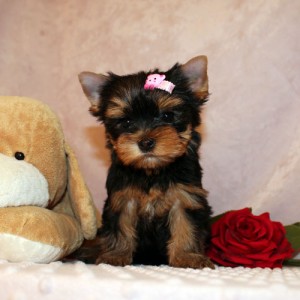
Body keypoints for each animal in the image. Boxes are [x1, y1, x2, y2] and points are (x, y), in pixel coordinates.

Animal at [77, 56, 213, 270]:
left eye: (167, 116)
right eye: (126, 122)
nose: (145, 142)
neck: (151, 171)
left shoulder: (185, 196)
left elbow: (186, 225)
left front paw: (187, 256)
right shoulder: (122, 198)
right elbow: (121, 226)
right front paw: (115, 255)